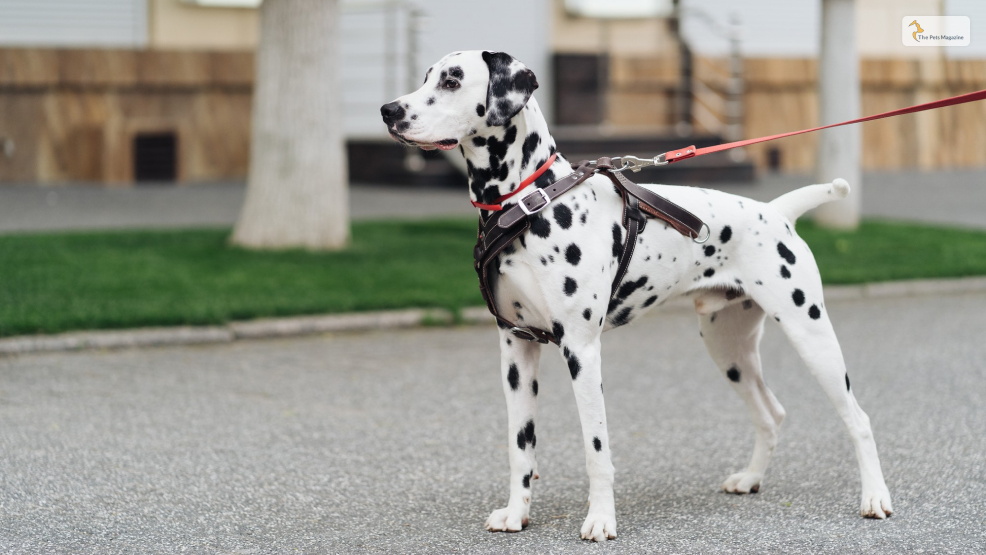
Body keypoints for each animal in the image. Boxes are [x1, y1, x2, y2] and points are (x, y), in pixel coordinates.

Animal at [378, 51, 892, 544]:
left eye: (452, 79)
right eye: (426, 77)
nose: (388, 111)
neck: (528, 202)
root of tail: (776, 211)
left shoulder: (581, 351)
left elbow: (596, 448)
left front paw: (601, 521)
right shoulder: (516, 350)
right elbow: (520, 446)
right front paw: (516, 514)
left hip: (811, 336)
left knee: (860, 418)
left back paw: (874, 497)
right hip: (729, 350)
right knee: (771, 413)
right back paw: (750, 478)